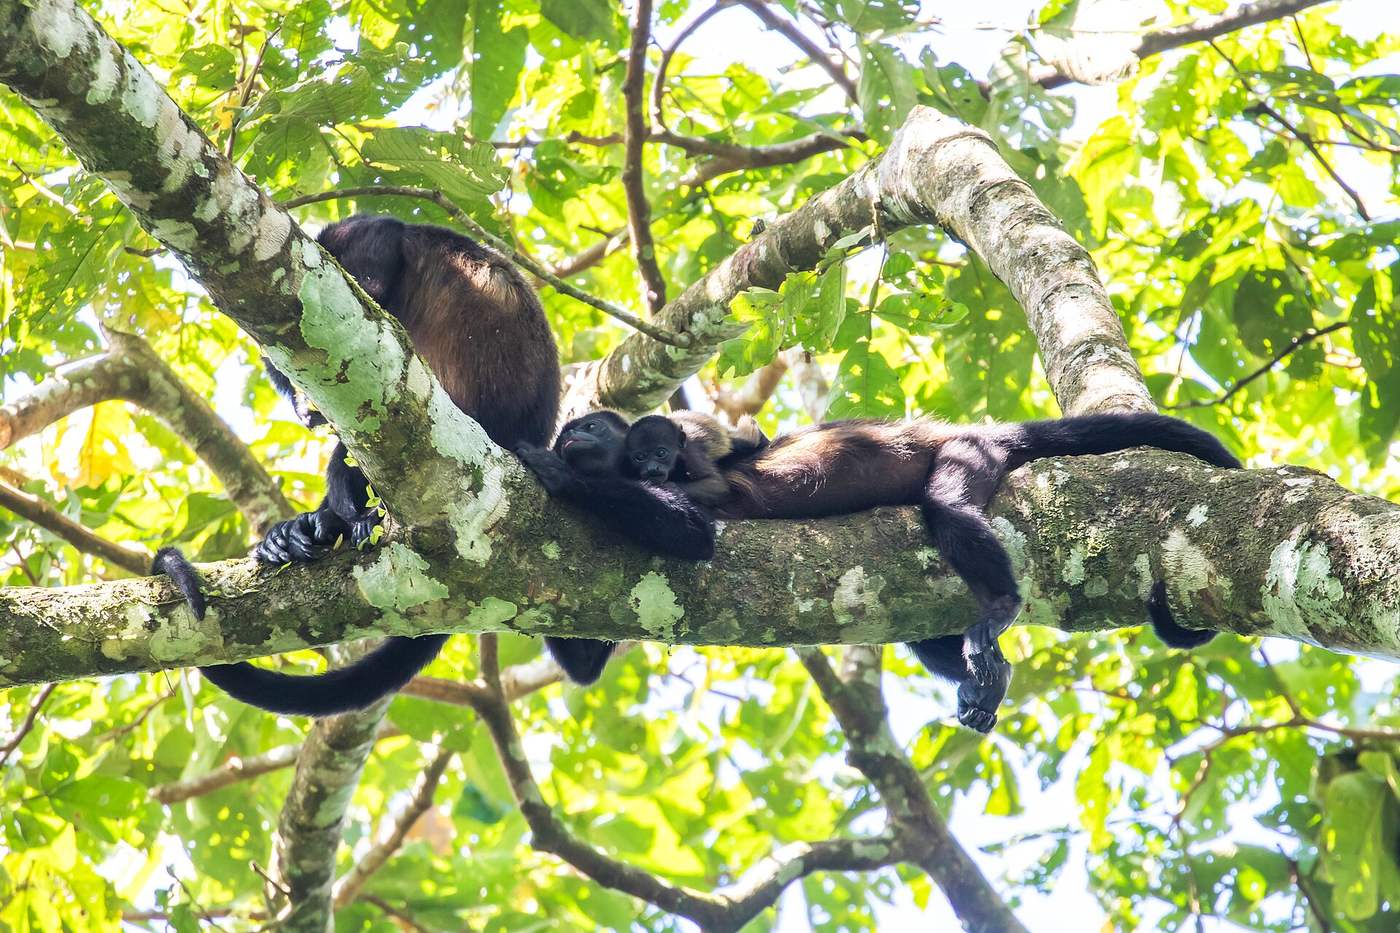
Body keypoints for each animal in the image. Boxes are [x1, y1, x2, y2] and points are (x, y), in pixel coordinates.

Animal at [151, 214, 628, 713]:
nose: (303, 409)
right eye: (285, 381)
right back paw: (302, 533)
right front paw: (305, 528)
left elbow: (378, 258)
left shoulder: (355, 236)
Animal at [623, 412, 769, 506]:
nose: (652, 468)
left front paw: (665, 487)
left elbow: (717, 485)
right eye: (640, 457)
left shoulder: (692, 454)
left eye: (661, 453)